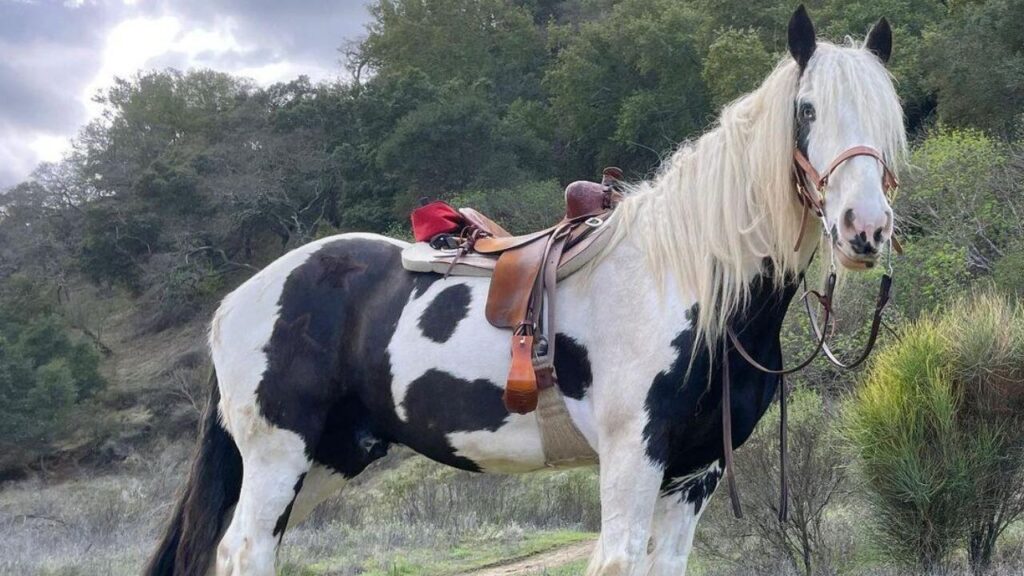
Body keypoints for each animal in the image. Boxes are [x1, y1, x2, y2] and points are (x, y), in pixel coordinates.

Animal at [145, 6, 906, 576]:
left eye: (890, 117)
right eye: (806, 110)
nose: (863, 229)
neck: (686, 281)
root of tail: (237, 303)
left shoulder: (695, 473)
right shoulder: (633, 456)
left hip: (327, 460)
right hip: (279, 455)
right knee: (243, 551)